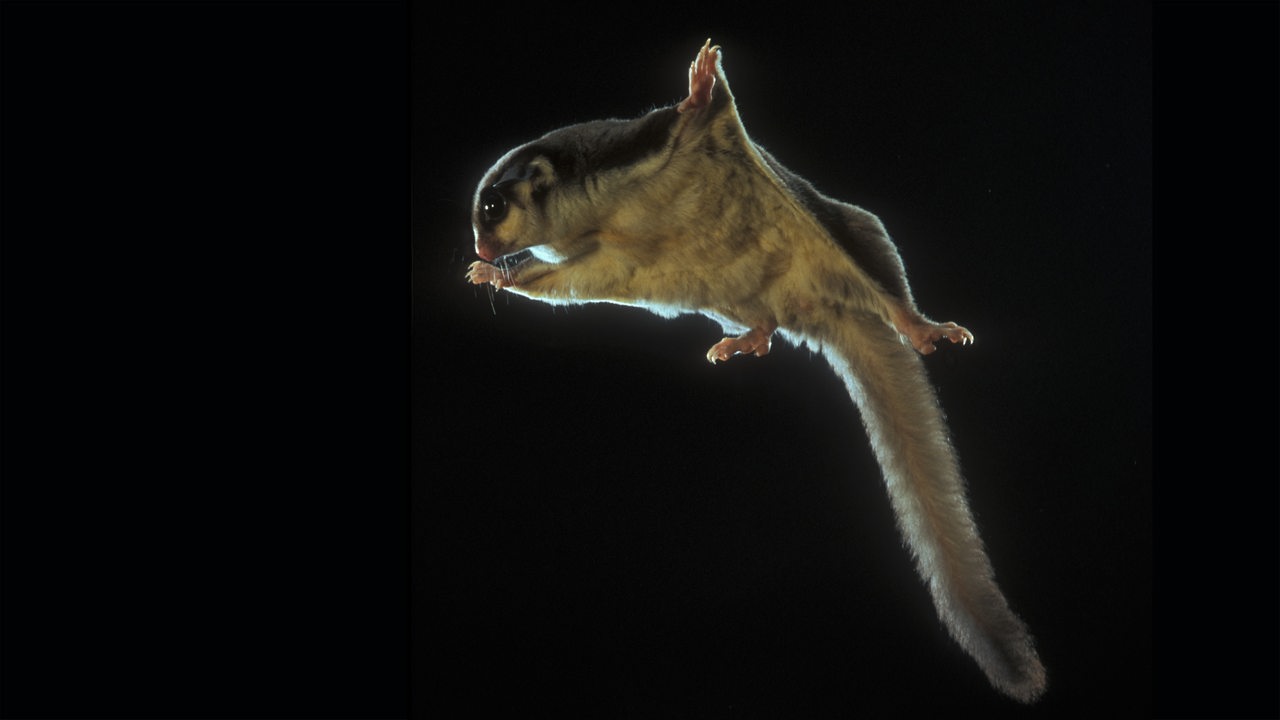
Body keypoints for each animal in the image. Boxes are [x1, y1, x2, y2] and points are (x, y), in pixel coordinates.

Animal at [465, 40, 1044, 702]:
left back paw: (918, 326)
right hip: (736, 297)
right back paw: (751, 337)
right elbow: (556, 279)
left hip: (837, 241)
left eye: (493, 207)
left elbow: (690, 120)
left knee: (867, 251)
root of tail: (822, 308)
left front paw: (699, 87)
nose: (480, 248)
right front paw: (491, 275)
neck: (598, 215)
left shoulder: (640, 150)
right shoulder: (584, 253)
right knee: (767, 323)